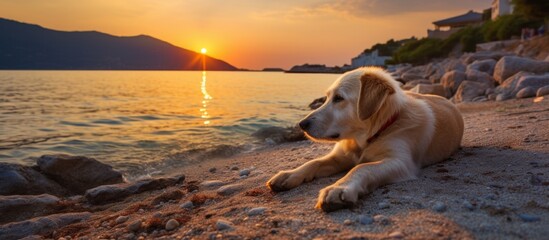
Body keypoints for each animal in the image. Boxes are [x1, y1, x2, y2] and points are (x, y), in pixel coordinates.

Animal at [266, 66, 462, 211]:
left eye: (339, 98)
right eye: (326, 98)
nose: (302, 124)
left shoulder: (402, 162)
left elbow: (362, 167)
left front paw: (339, 188)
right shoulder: (340, 156)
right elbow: (314, 162)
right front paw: (289, 174)